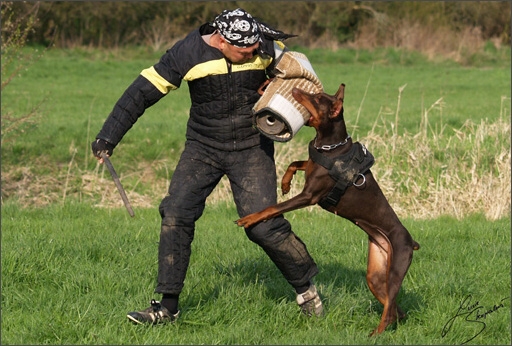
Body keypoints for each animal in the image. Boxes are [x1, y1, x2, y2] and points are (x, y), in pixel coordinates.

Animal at [238, 83, 418, 336]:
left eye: (317, 99)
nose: (296, 88)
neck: (331, 146)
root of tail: (411, 242)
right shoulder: (311, 168)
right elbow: (295, 162)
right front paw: (284, 183)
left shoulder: (309, 196)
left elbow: (273, 207)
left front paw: (250, 218)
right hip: (375, 274)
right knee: (392, 308)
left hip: (396, 269)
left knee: (390, 309)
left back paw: (375, 334)